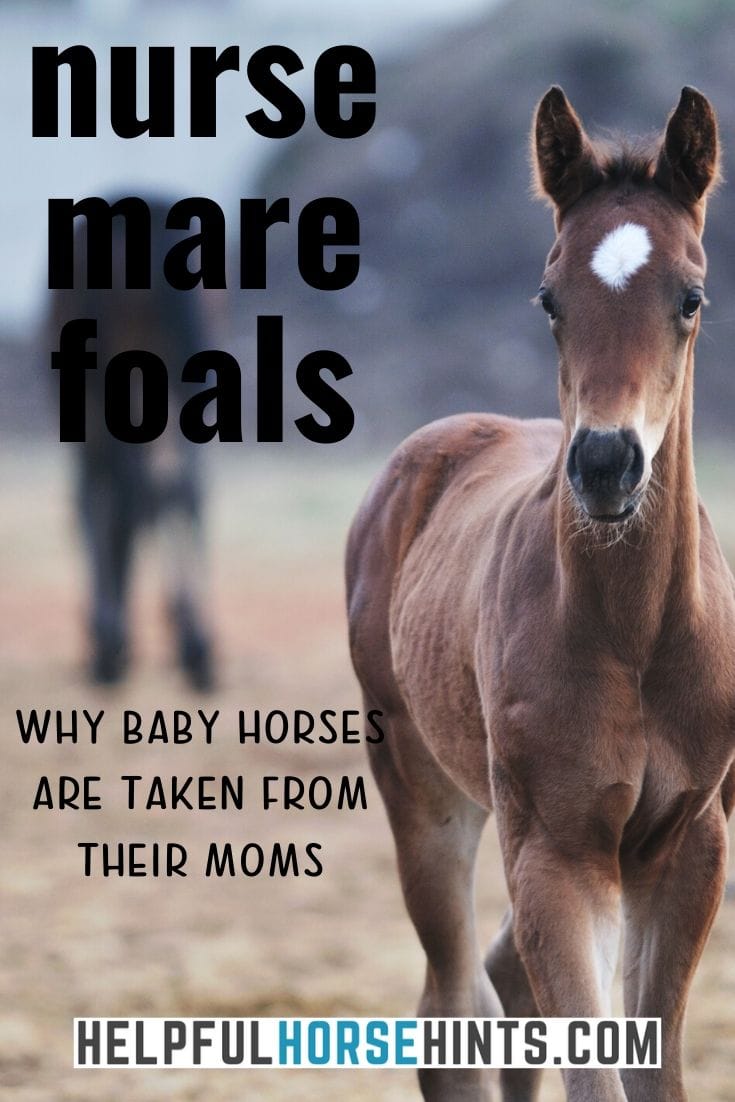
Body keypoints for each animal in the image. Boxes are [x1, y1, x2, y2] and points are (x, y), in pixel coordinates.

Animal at [346, 87, 735, 1102]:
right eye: (549, 299)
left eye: (690, 297)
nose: (603, 464)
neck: (634, 634)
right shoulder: (556, 851)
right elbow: (592, 1070)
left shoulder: (687, 847)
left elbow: (651, 1066)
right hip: (425, 790)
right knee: (454, 1005)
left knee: (500, 987)